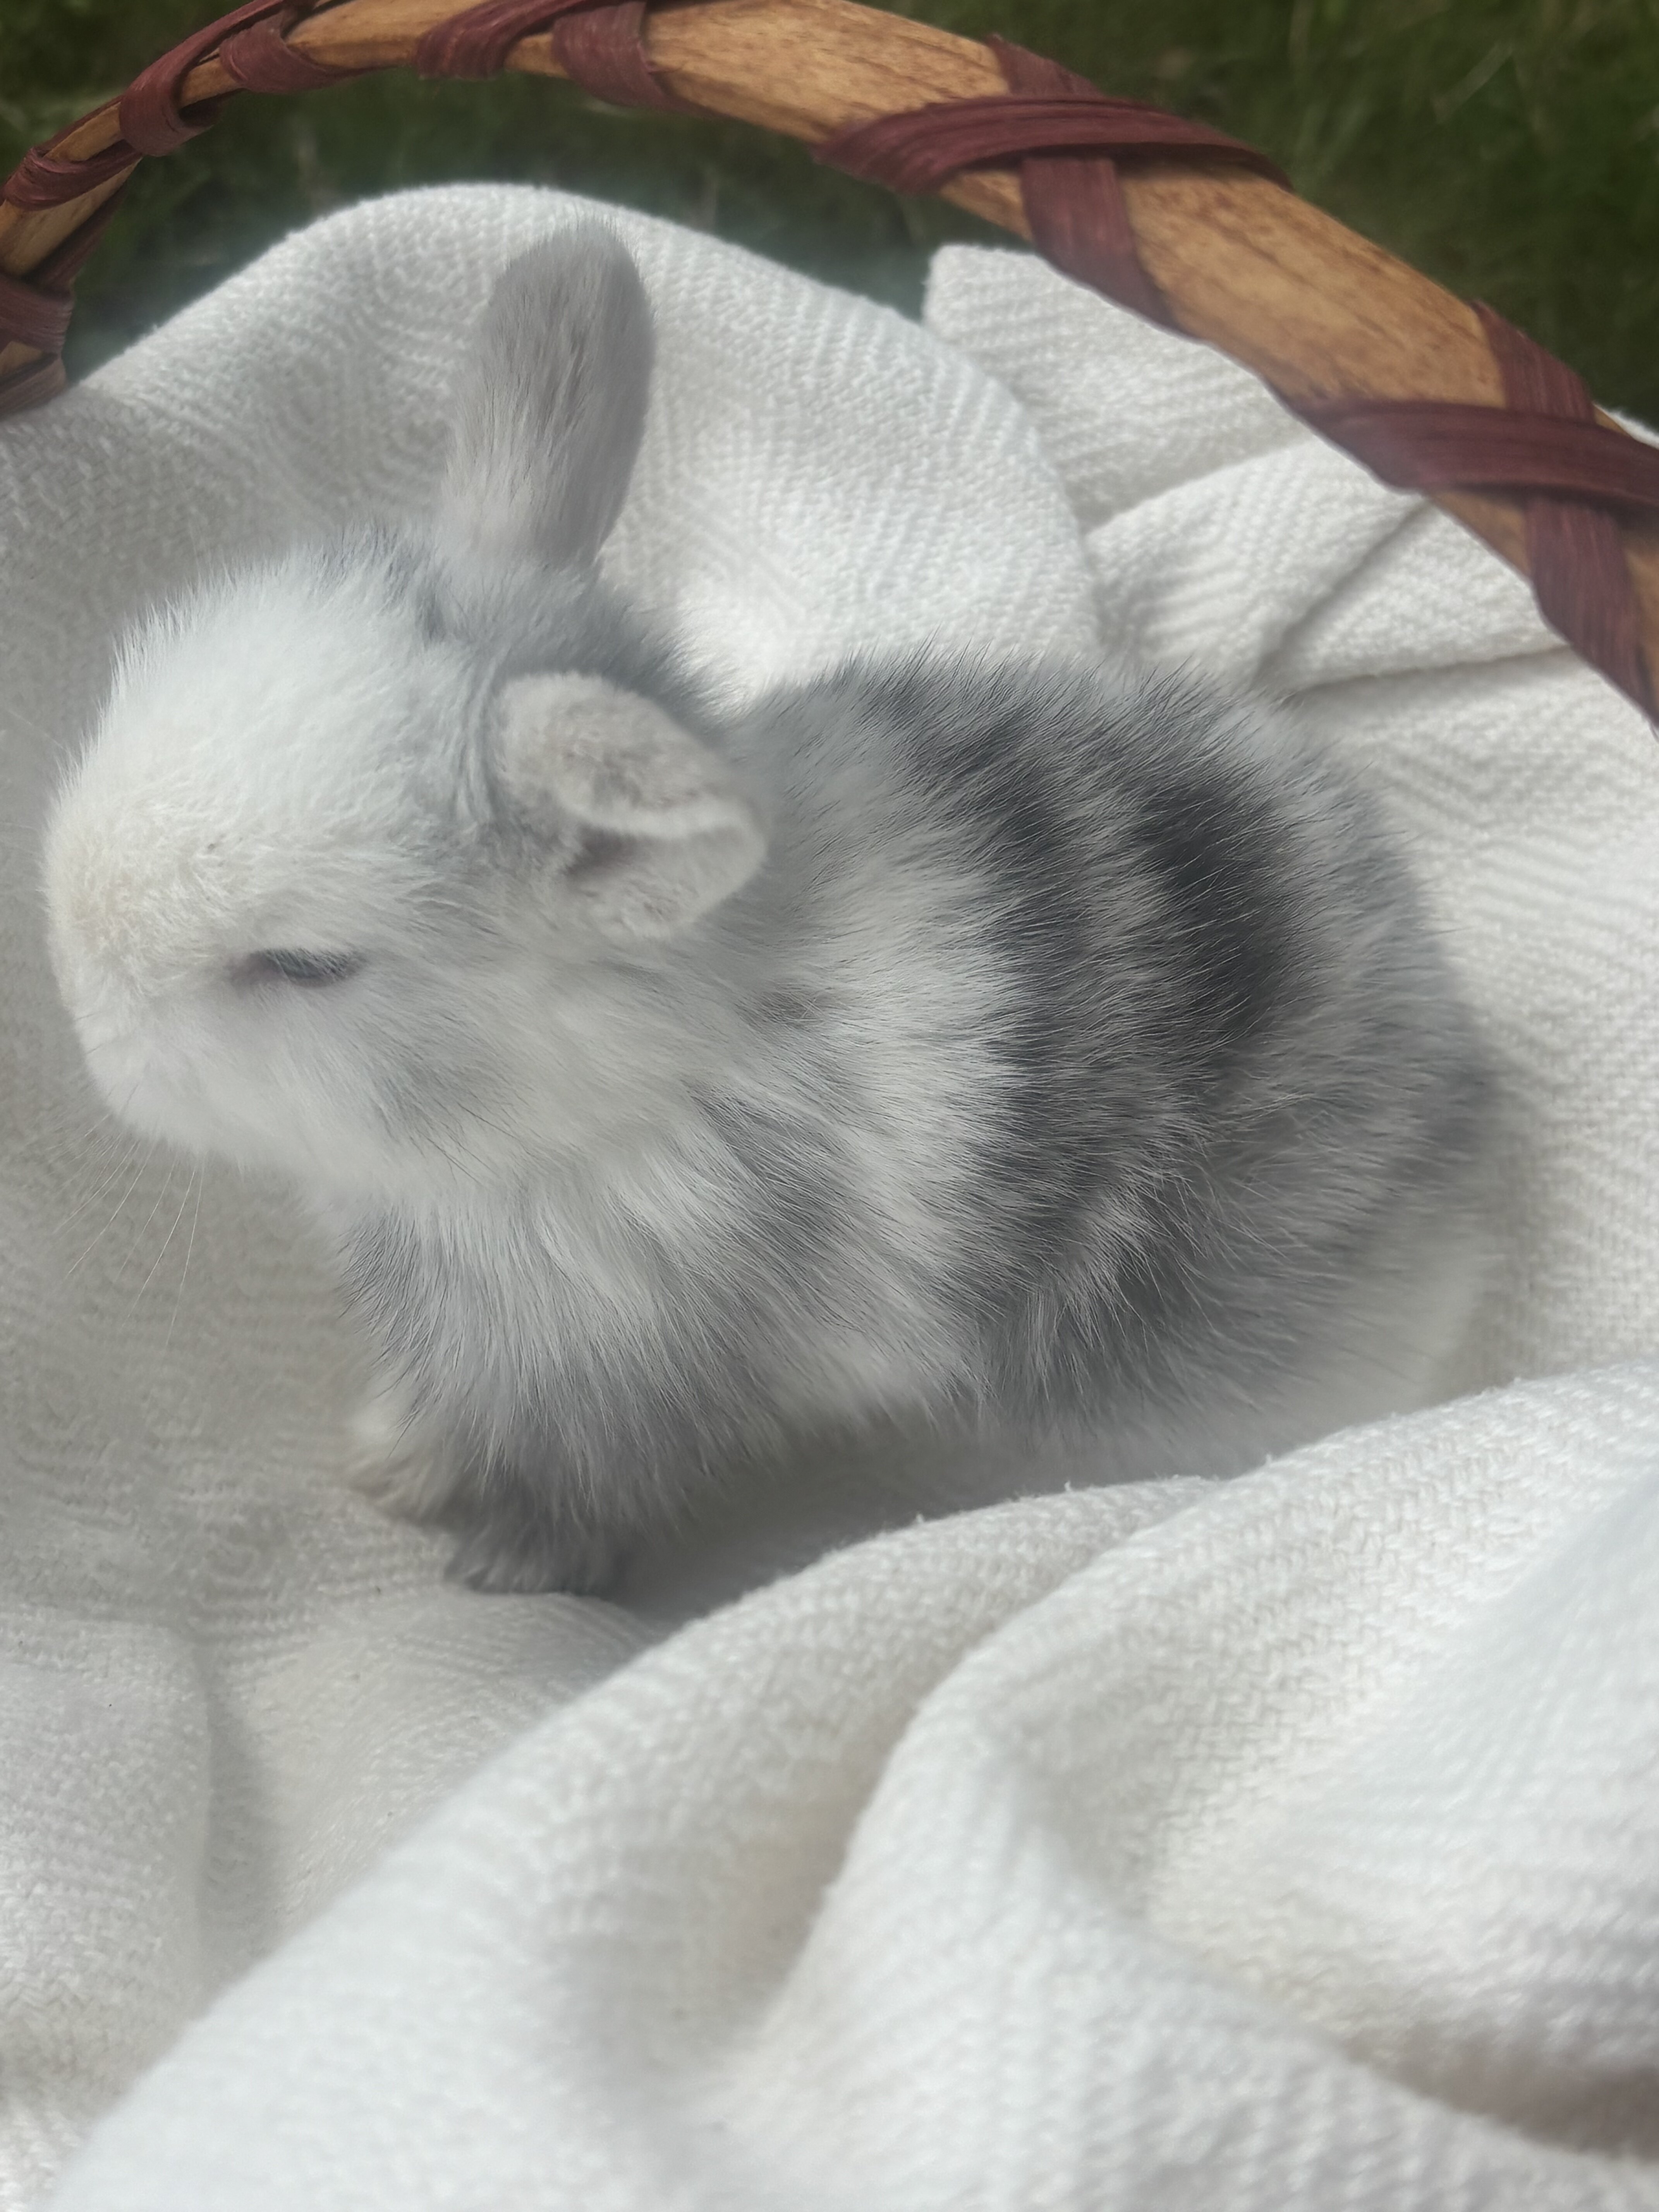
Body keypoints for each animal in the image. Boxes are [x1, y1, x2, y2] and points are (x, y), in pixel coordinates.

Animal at [43, 223, 1493, 1596]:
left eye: (304, 964)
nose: (84, 1036)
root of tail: (1458, 1094)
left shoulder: (624, 1368)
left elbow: (585, 1483)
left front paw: (506, 1567)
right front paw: (390, 1462)